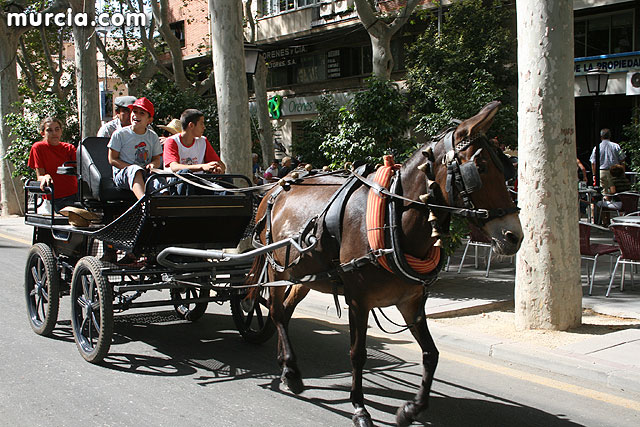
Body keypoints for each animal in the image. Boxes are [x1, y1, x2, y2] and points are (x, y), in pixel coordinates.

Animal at [248, 102, 524, 426]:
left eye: (504, 168)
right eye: (479, 168)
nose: (514, 235)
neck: (393, 222)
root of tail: (275, 188)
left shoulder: (411, 302)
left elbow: (431, 354)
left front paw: (410, 409)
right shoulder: (358, 301)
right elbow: (357, 353)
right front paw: (359, 407)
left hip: (302, 275)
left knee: (287, 311)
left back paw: (286, 365)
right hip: (275, 269)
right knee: (277, 312)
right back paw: (290, 370)